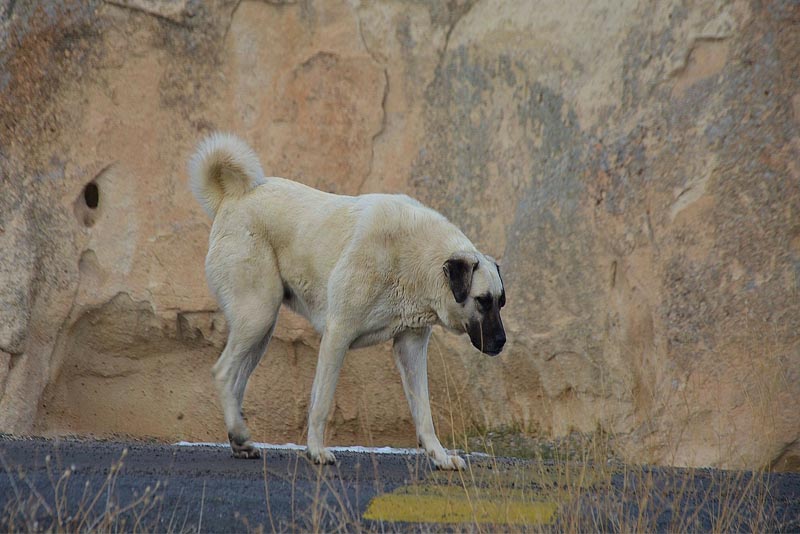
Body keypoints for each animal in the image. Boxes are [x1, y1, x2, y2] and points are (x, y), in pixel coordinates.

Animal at [188, 133, 506, 468]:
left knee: (237, 380)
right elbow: (322, 402)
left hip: (260, 330)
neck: (418, 257)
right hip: (257, 315)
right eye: (482, 300)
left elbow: (424, 413)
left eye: (501, 302)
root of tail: (232, 199)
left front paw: (440, 456)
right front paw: (316, 450)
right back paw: (239, 433)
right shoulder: (337, 334)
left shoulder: (411, 346)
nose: (501, 342)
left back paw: (240, 440)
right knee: (223, 373)